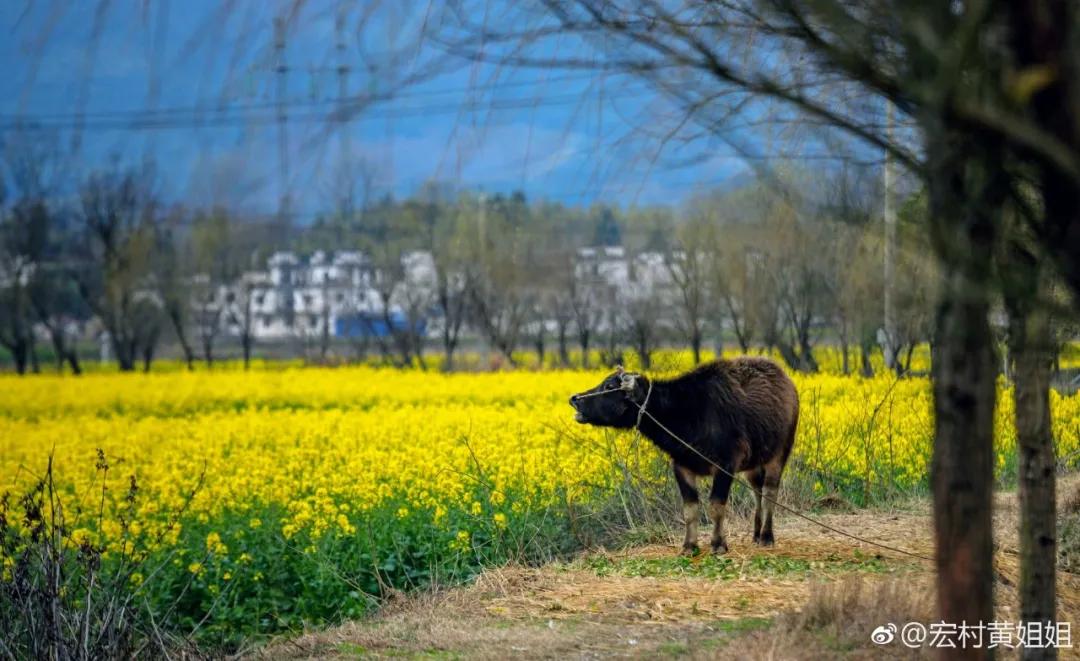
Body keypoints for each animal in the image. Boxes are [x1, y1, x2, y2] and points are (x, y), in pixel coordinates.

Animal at [570, 356, 799, 552]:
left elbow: (716, 505)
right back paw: (756, 534)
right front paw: (689, 545)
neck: (686, 412)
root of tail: (786, 381)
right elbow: (690, 509)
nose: (575, 399)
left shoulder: (725, 465)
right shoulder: (681, 466)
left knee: (770, 493)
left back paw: (767, 536)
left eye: (609, 387)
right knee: (757, 492)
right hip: (753, 464)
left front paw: (718, 544)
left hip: (779, 454)